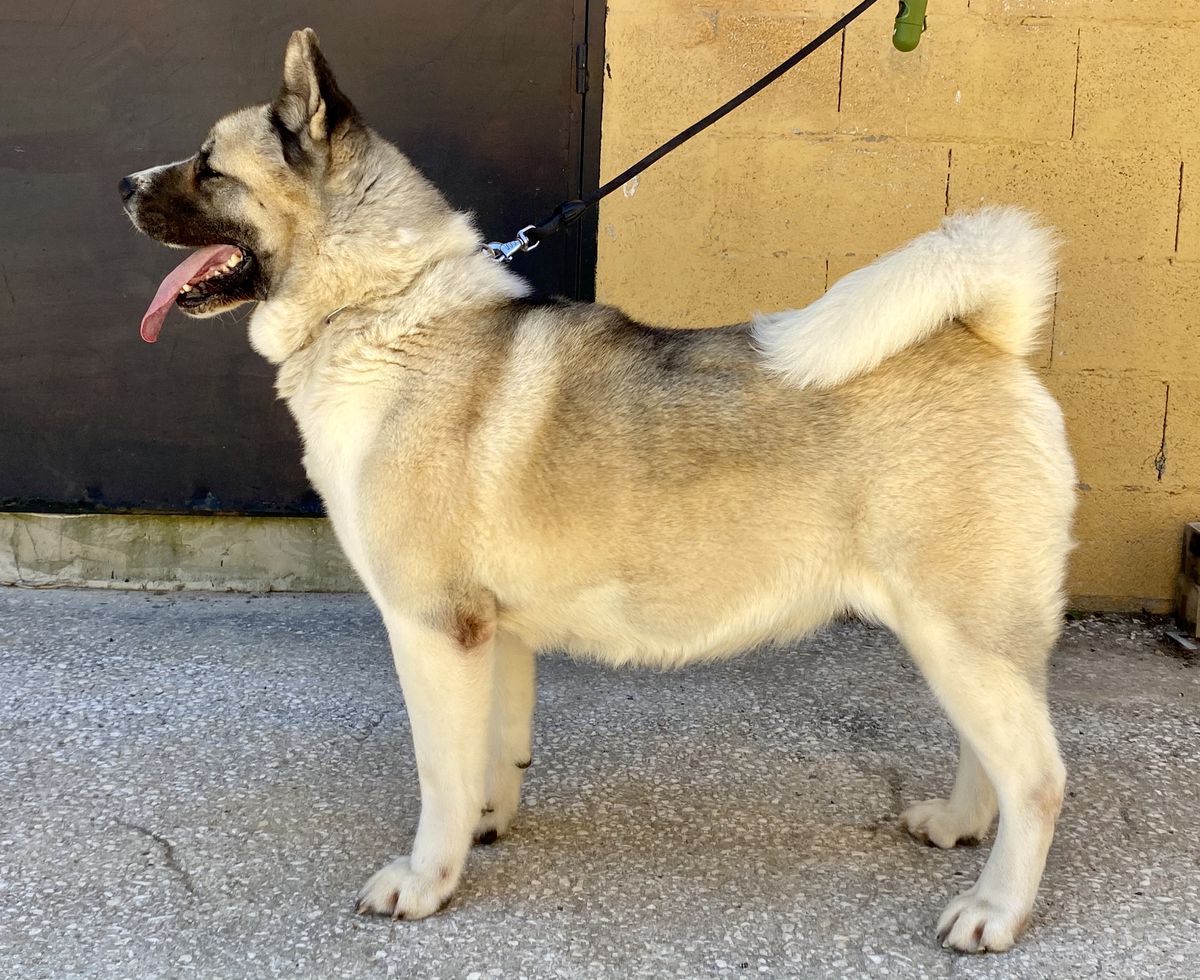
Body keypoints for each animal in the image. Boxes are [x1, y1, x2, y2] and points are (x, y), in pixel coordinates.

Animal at [120, 28, 1076, 952]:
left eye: (209, 165)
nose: (123, 183)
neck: (382, 309)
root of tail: (988, 338)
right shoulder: (494, 635)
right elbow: (492, 754)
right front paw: (486, 824)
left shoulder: (433, 630)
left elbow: (439, 773)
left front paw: (429, 880)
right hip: (952, 641)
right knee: (990, 756)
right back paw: (959, 824)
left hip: (962, 637)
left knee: (1037, 777)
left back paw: (994, 909)